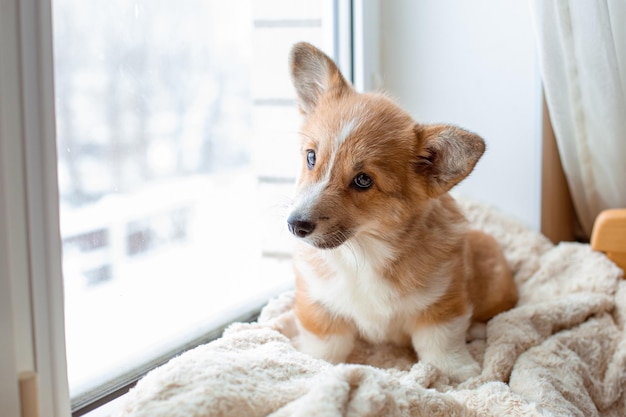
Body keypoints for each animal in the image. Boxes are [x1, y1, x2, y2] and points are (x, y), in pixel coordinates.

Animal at [286, 41, 516, 380]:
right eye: (311, 157)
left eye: (363, 180)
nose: (296, 225)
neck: (365, 253)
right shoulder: (319, 302)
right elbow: (325, 348)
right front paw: (314, 365)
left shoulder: (442, 304)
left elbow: (440, 345)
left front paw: (460, 373)